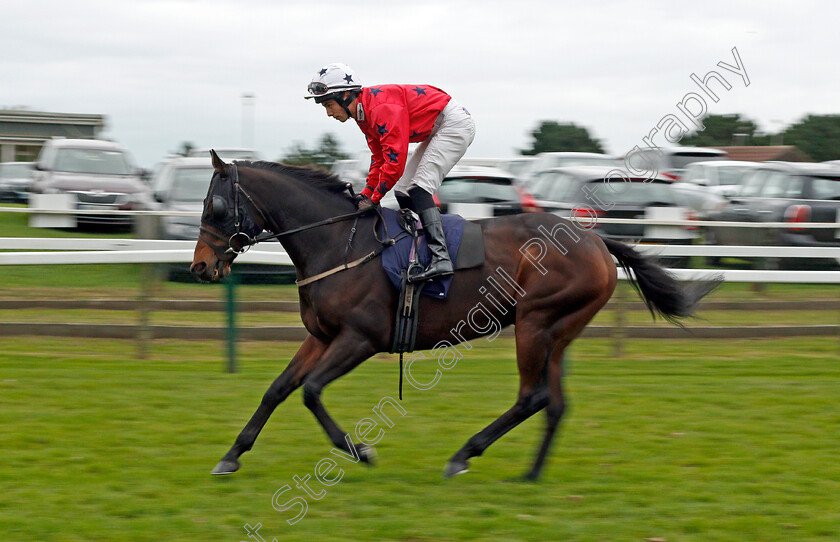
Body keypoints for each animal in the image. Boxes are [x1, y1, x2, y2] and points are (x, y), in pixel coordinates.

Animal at [192, 151, 720, 482]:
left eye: (215, 206)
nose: (200, 266)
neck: (338, 242)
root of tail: (594, 239)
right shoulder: (321, 337)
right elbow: (278, 389)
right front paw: (230, 457)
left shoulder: (360, 338)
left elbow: (312, 391)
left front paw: (361, 451)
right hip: (559, 332)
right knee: (555, 404)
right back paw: (530, 474)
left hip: (535, 322)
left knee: (532, 397)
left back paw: (464, 455)